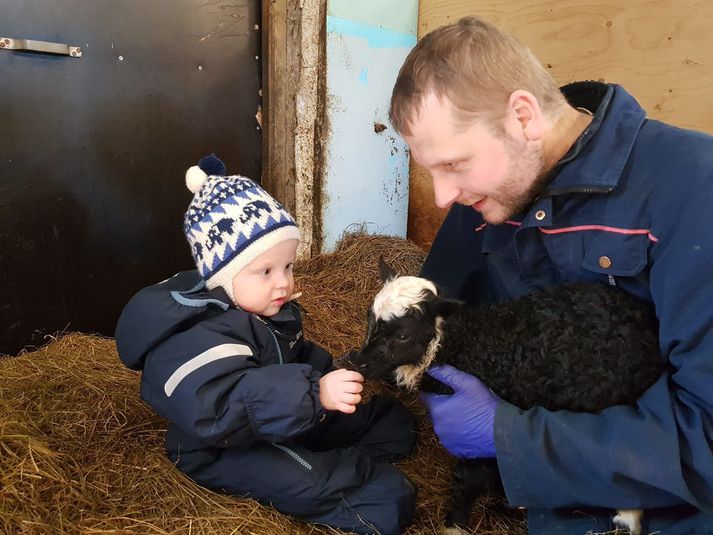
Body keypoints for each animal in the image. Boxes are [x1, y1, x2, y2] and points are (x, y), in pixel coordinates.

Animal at [346, 258, 660, 532]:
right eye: (370, 319)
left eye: (402, 335)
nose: (359, 362)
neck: (465, 344)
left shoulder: (479, 439)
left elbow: (469, 478)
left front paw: (454, 523)